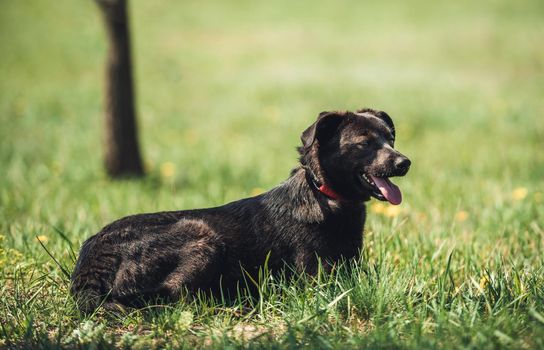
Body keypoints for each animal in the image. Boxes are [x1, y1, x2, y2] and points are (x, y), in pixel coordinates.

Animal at [70, 108, 410, 312]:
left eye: (391, 138)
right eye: (364, 143)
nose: (405, 162)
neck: (324, 195)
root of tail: (88, 266)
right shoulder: (318, 280)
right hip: (201, 234)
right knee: (174, 294)